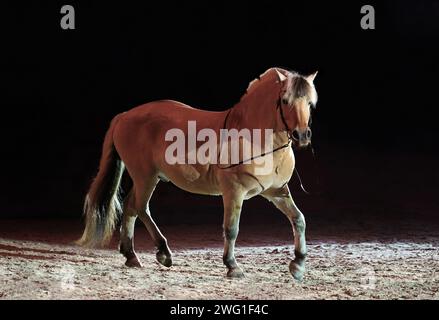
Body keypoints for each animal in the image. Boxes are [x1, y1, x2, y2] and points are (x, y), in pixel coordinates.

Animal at [77, 67, 318, 280]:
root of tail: (125, 115)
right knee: (140, 207)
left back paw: (132, 255)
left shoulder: (276, 191)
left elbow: (299, 220)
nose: (302, 135)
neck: (254, 137)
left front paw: (298, 265)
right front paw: (232, 266)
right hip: (146, 177)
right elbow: (231, 228)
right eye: (285, 101)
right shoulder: (234, 192)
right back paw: (162, 252)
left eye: (309, 103)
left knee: (130, 207)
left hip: (145, 177)